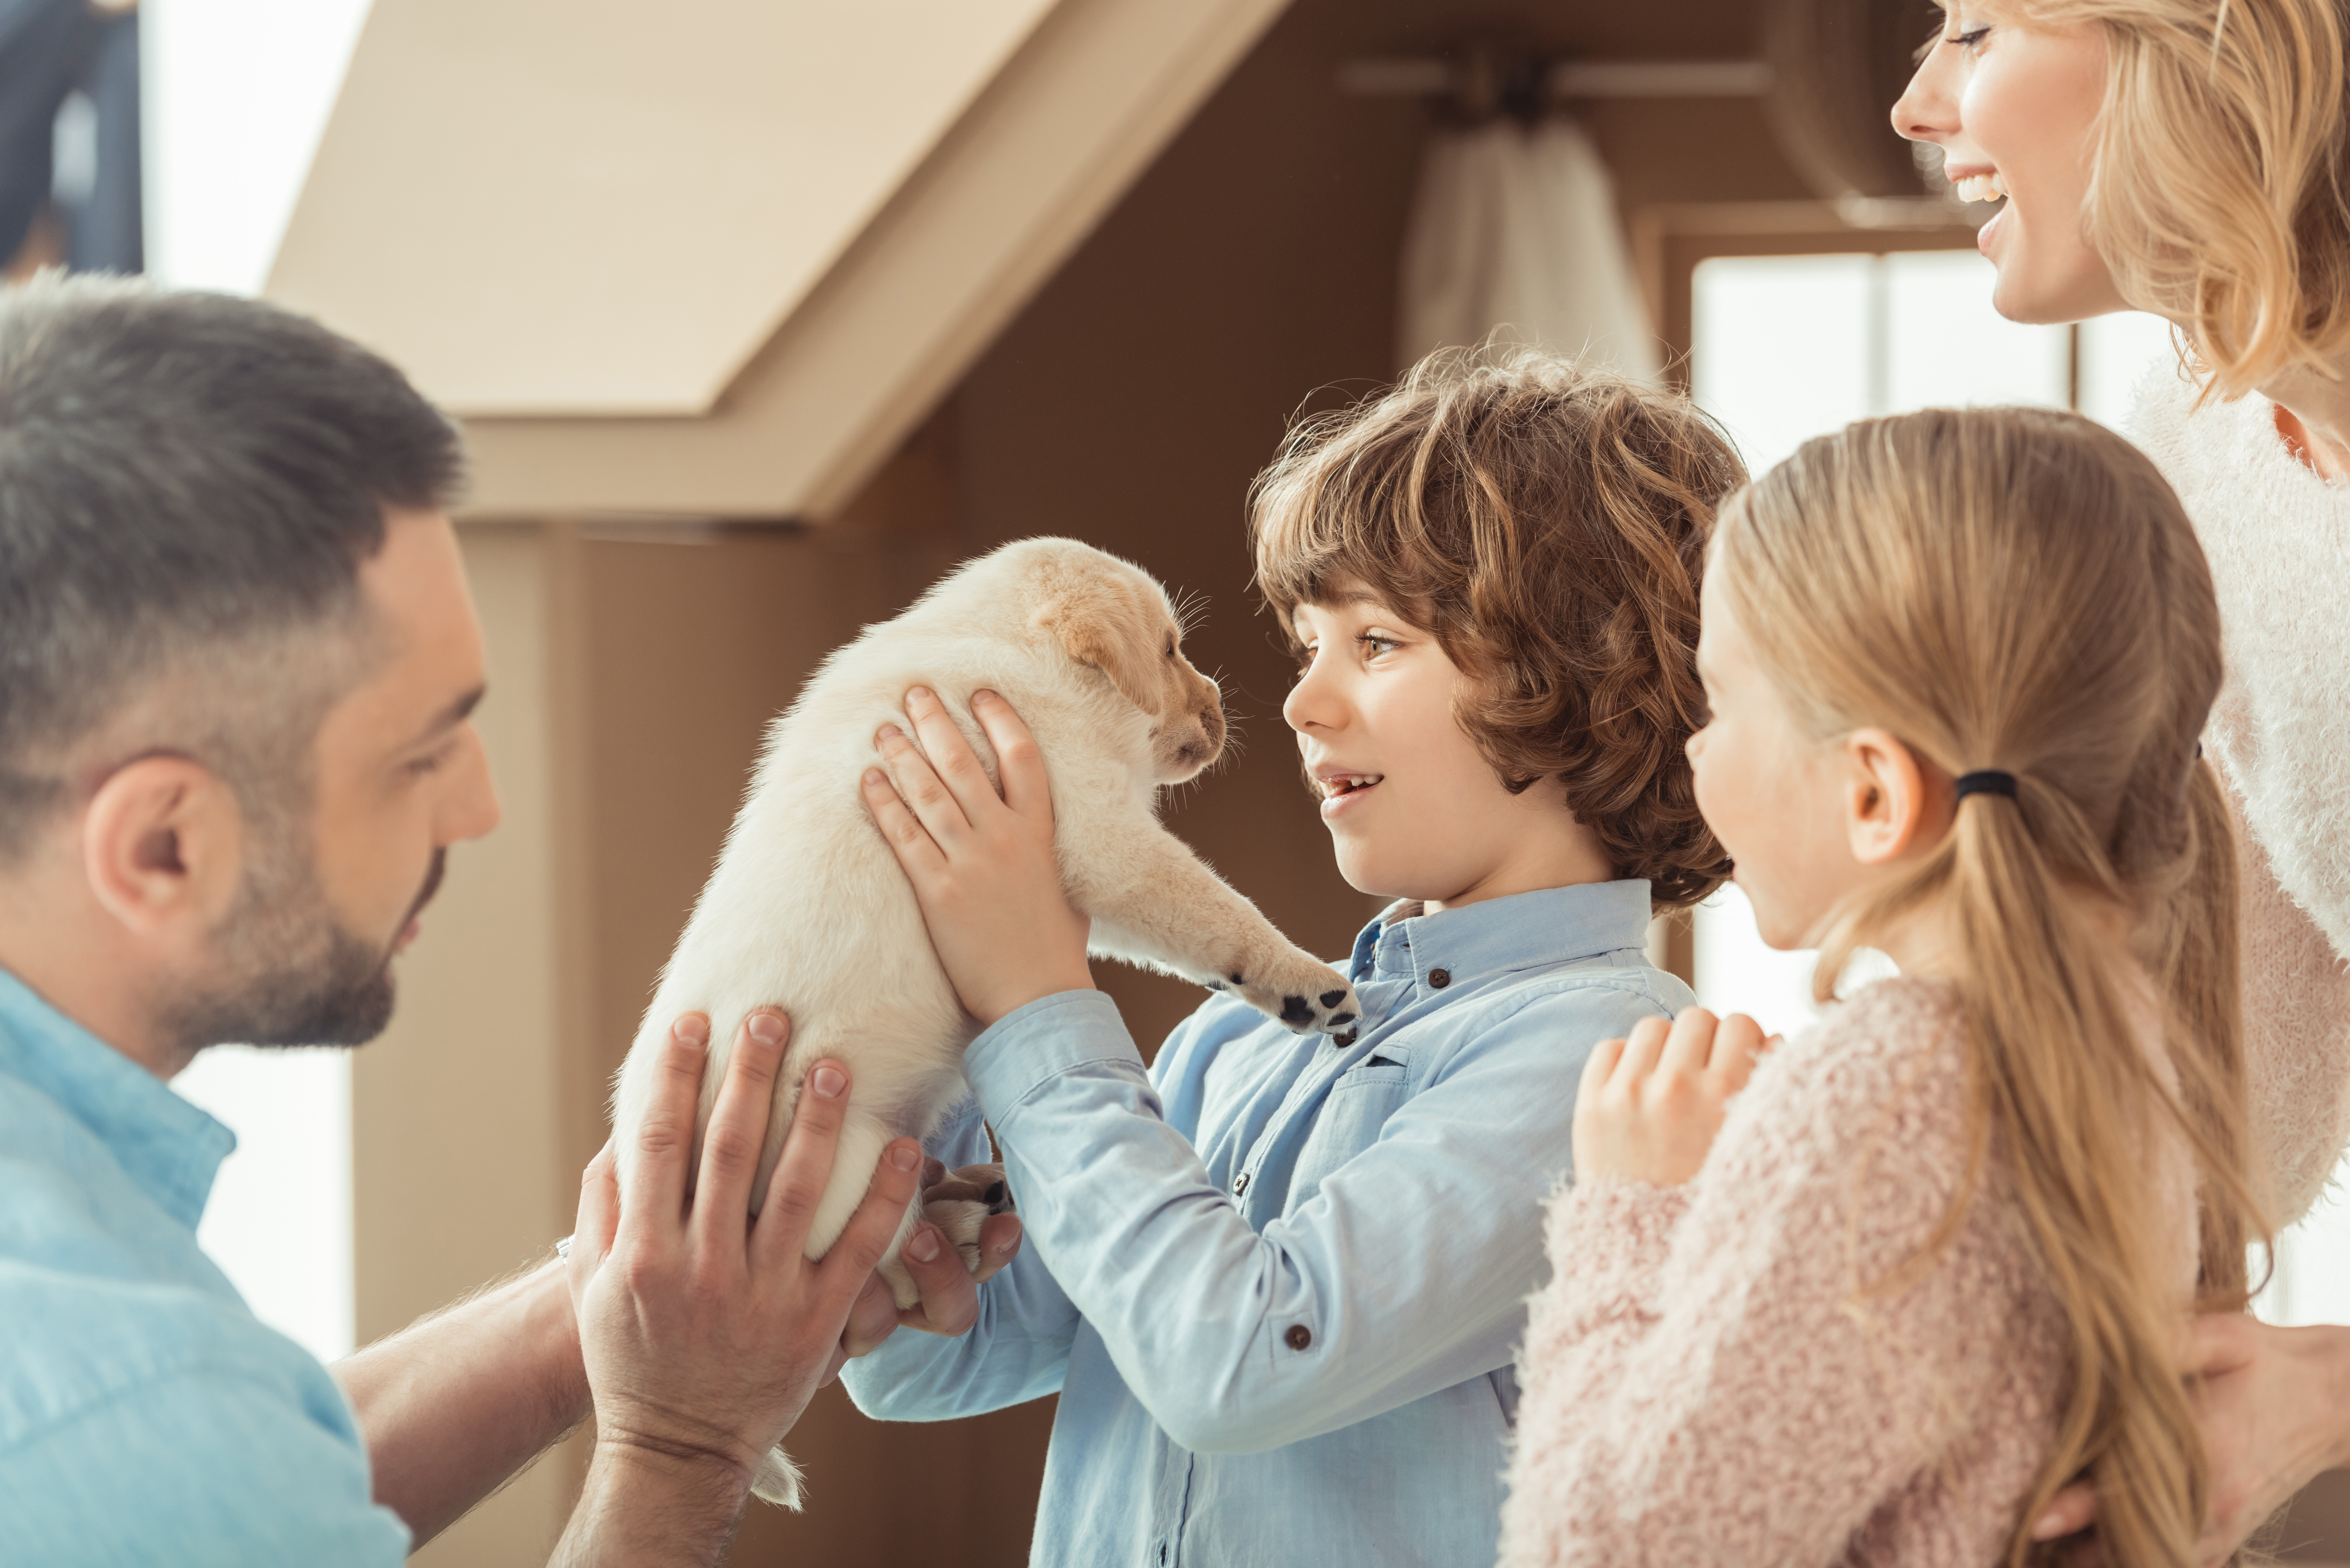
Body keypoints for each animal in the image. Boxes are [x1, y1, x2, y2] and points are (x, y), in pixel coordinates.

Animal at [606, 540, 1363, 1504]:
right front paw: (1309, 981)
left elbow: (1189, 936)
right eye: (1167, 650)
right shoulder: (1103, 839)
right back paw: (959, 1229)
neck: (1003, 648)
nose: (1221, 708)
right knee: (889, 1267)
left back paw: (971, 1191)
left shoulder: (1086, 871)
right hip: (848, 1166)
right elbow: (1217, 908)